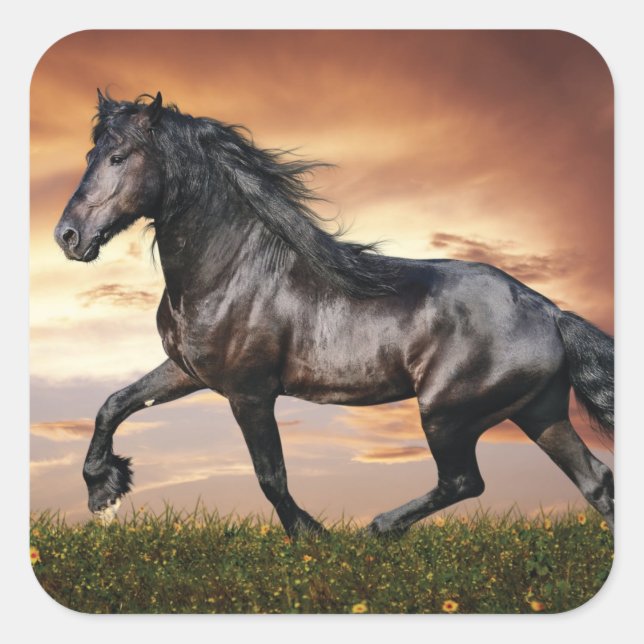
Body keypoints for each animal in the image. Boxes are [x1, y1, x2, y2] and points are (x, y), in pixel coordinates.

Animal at [54, 91, 614, 537]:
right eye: (90, 153)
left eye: (119, 156)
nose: (68, 236)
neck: (231, 270)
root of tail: (548, 311)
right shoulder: (187, 371)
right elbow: (113, 404)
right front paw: (104, 491)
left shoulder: (250, 392)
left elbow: (270, 476)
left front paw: (312, 536)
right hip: (537, 412)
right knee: (596, 482)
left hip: (448, 413)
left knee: (463, 481)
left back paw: (378, 529)